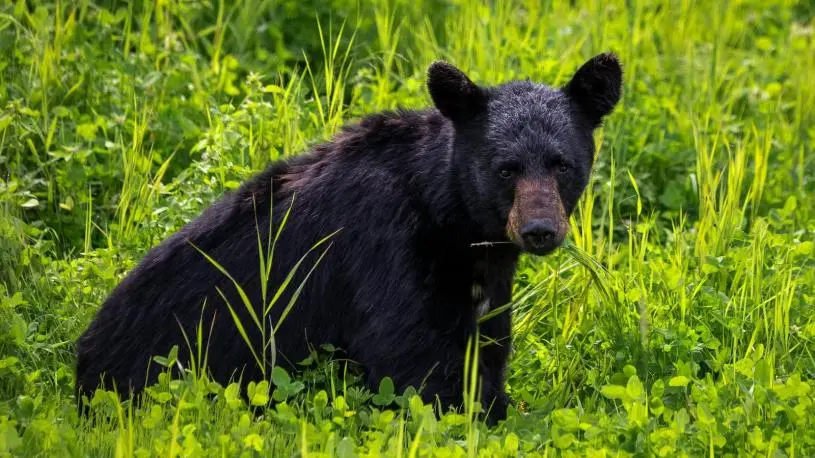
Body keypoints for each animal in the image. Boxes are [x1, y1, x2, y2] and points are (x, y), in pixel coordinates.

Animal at [75, 53, 622, 424]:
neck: (450, 219)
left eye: (562, 164)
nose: (539, 230)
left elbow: (486, 344)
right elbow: (413, 359)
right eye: (506, 168)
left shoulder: (484, 277)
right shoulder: (387, 248)